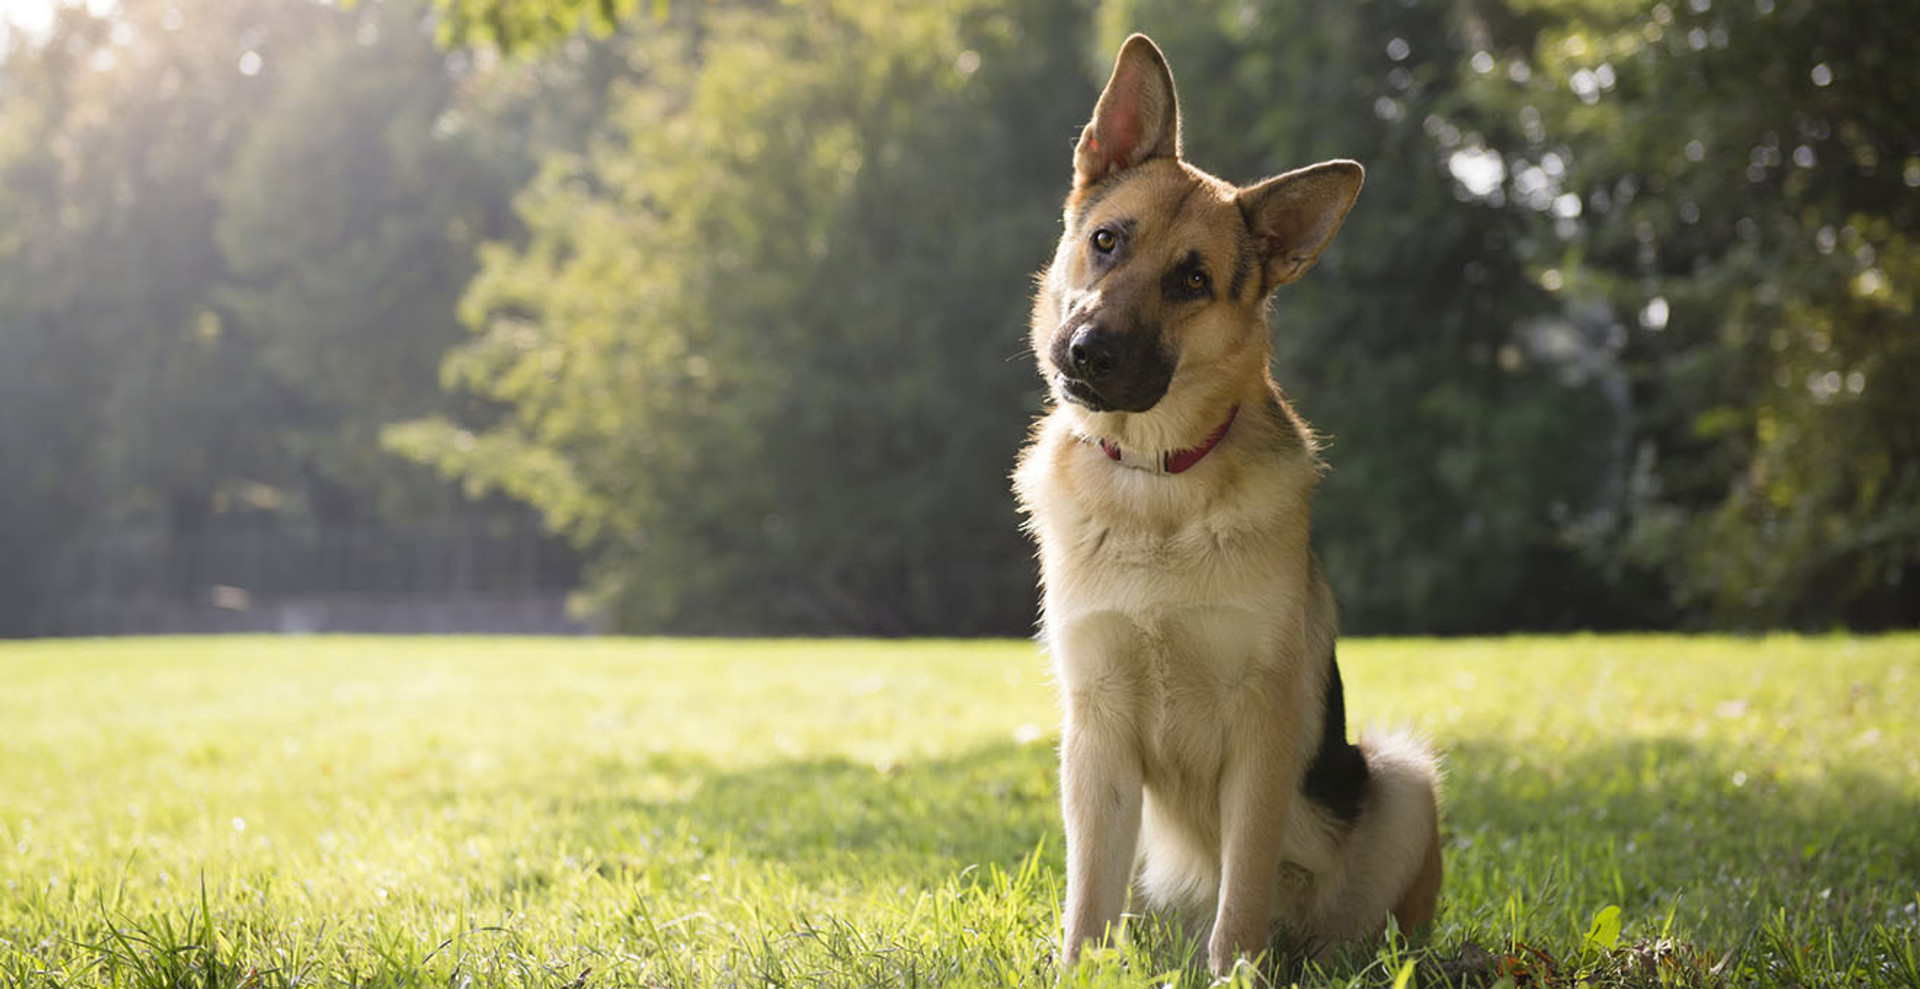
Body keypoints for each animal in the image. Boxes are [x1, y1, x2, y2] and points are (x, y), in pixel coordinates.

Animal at [1013, 34, 1443, 979]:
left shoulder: (1264, 730)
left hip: (1401, 778)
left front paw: (1235, 976)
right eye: (1106, 241)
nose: (1087, 352)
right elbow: (1087, 901)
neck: (1156, 481)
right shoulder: (1095, 732)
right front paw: (1078, 971)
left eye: (1193, 281)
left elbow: (1240, 892)